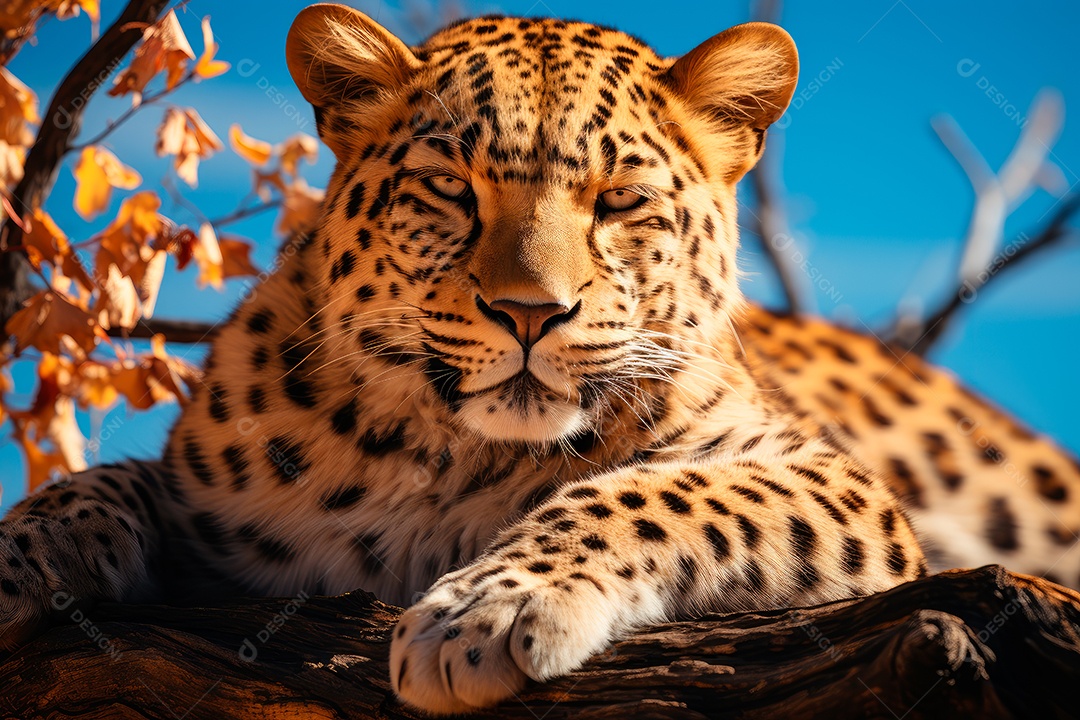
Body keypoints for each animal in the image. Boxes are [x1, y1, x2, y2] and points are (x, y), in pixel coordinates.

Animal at [2, 4, 1078, 715]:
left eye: (619, 200)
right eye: (449, 189)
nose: (531, 313)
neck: (444, 459)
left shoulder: (836, 485)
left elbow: (659, 490)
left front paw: (486, 612)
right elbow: (106, 478)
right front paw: (20, 552)